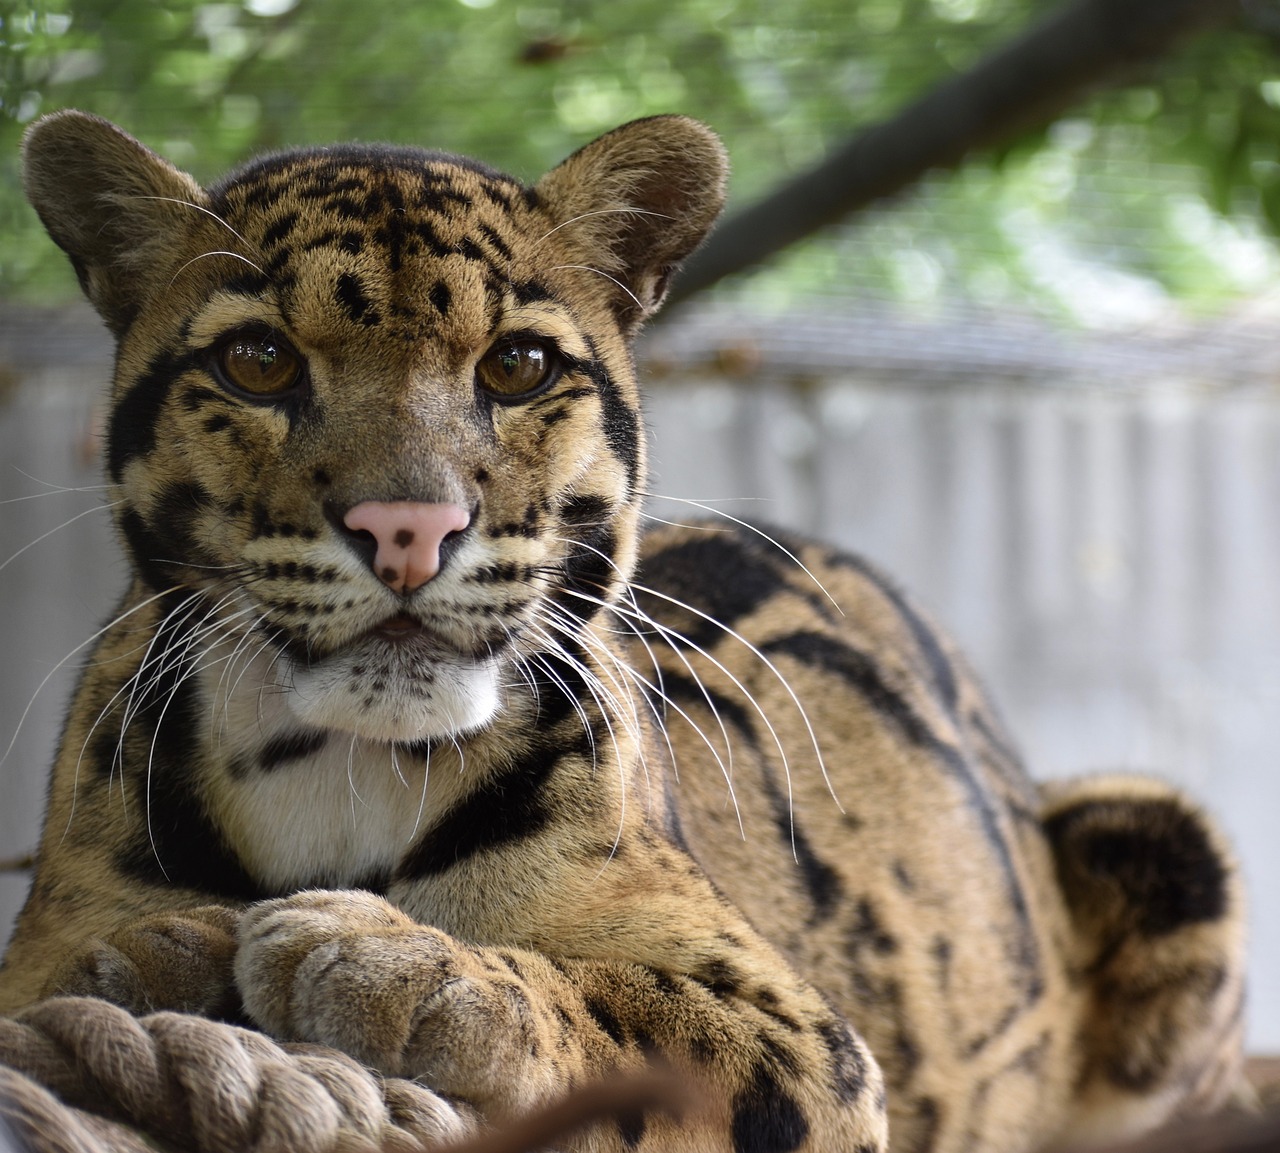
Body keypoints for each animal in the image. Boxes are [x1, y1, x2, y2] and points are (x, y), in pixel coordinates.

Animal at [0, 108, 1248, 1153]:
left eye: (516, 365)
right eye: (257, 361)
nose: (406, 526)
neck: (337, 766)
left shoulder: (806, 1039)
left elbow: (625, 1007)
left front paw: (396, 962)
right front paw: (146, 952)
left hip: (1159, 838)